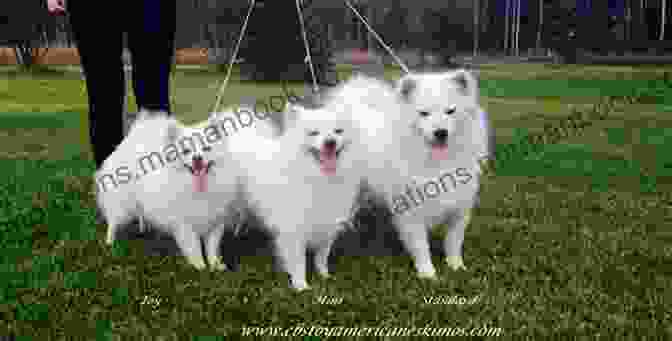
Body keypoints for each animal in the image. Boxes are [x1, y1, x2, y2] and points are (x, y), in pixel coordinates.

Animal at [94, 110, 242, 270]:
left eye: (207, 149)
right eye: (186, 151)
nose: (197, 158)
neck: (198, 187)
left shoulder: (215, 221)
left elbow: (212, 247)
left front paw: (215, 265)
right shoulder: (185, 225)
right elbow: (194, 247)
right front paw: (200, 266)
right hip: (121, 203)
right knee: (113, 222)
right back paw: (110, 242)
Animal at [230, 98, 368, 290]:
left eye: (338, 131)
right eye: (313, 133)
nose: (330, 142)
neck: (318, 177)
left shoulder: (327, 224)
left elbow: (322, 256)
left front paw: (324, 276)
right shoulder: (294, 230)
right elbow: (298, 262)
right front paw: (301, 286)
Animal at [334, 69, 490, 278]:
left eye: (450, 111)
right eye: (424, 113)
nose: (441, 132)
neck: (437, 161)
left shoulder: (459, 209)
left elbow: (454, 242)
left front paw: (456, 266)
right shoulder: (412, 213)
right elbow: (420, 246)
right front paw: (427, 274)